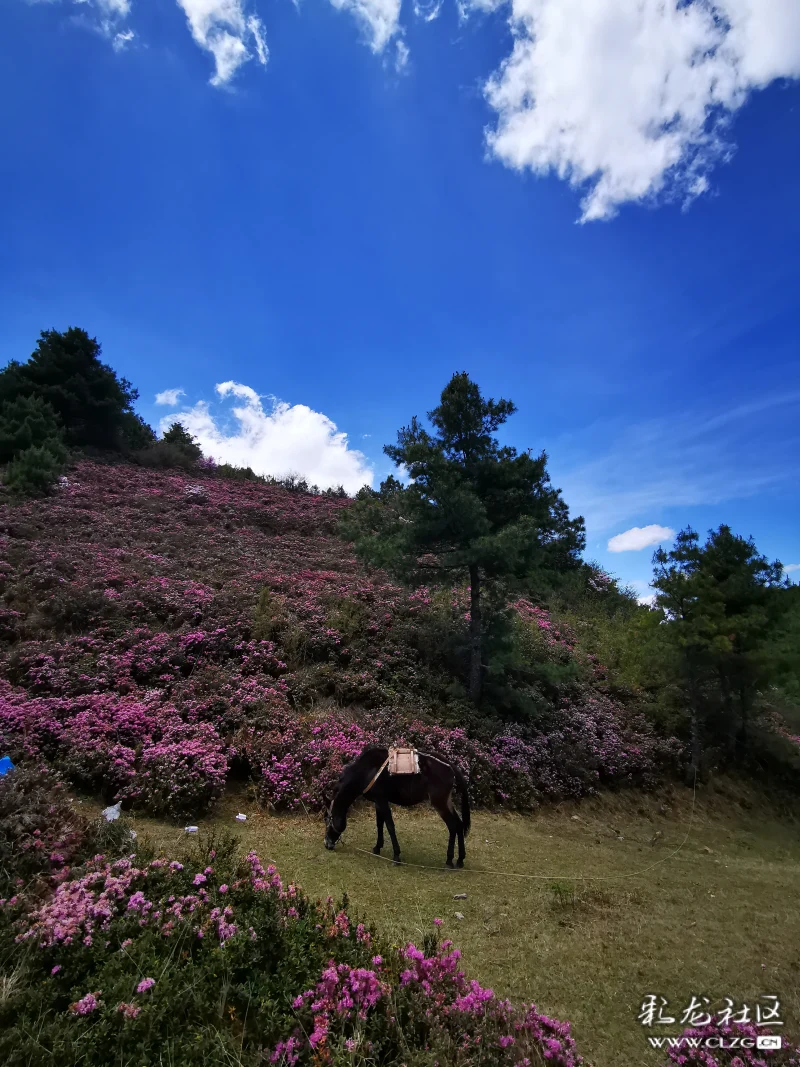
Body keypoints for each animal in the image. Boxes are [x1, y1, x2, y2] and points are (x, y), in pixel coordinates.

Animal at [324, 746, 473, 870]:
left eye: (326, 819)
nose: (327, 843)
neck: (366, 771)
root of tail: (449, 765)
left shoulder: (382, 800)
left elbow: (390, 825)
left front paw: (396, 856)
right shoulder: (378, 802)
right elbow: (379, 824)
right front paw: (377, 847)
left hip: (440, 803)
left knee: (452, 826)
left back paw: (449, 860)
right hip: (446, 802)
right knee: (459, 825)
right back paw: (460, 859)